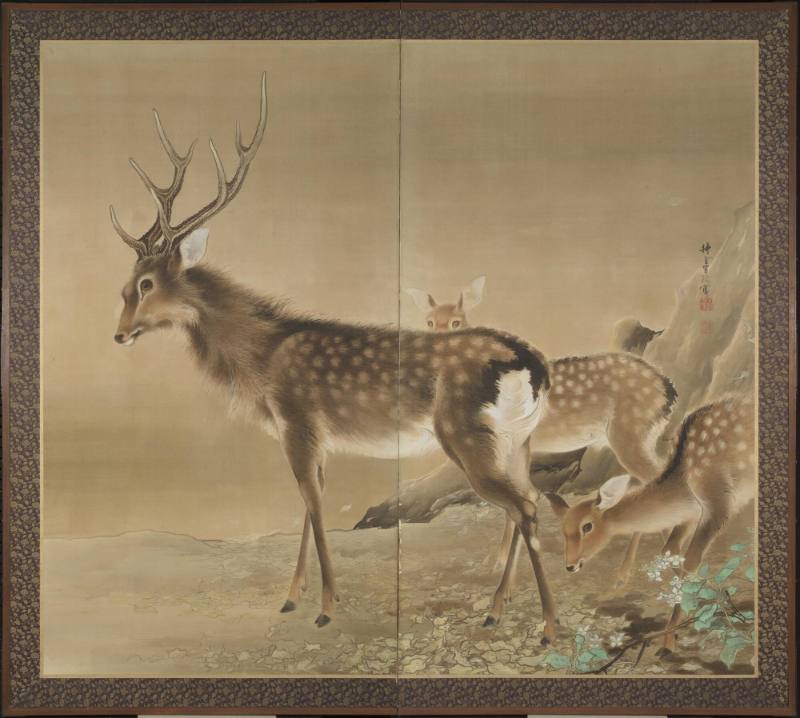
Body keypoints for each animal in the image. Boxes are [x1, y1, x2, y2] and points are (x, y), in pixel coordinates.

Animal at [111, 73, 565, 640]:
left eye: (146, 284)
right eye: (124, 286)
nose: (119, 335)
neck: (262, 359)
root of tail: (534, 364)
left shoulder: (298, 421)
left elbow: (312, 503)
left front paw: (326, 606)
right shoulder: (314, 436)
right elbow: (310, 505)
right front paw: (292, 597)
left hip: (467, 434)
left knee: (524, 505)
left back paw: (548, 624)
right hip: (517, 440)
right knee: (525, 501)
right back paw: (495, 608)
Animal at [545, 396, 755, 652]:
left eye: (587, 527)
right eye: (563, 531)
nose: (570, 565)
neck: (684, 482)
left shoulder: (719, 502)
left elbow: (691, 560)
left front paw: (669, 640)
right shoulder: (693, 511)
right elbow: (670, 550)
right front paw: (701, 605)